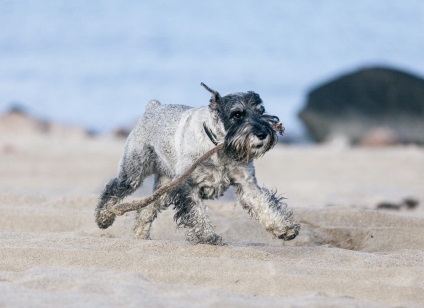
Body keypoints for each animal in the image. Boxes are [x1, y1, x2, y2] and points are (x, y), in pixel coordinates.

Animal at [95, 83, 302, 244]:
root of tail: (153, 107)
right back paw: (103, 218)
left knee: (146, 209)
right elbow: (197, 213)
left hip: (165, 187)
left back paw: (140, 236)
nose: (262, 133)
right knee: (112, 190)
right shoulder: (188, 187)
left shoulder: (247, 184)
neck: (218, 147)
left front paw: (284, 227)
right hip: (134, 173)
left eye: (261, 111)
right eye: (237, 114)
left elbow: (264, 203)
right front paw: (207, 236)